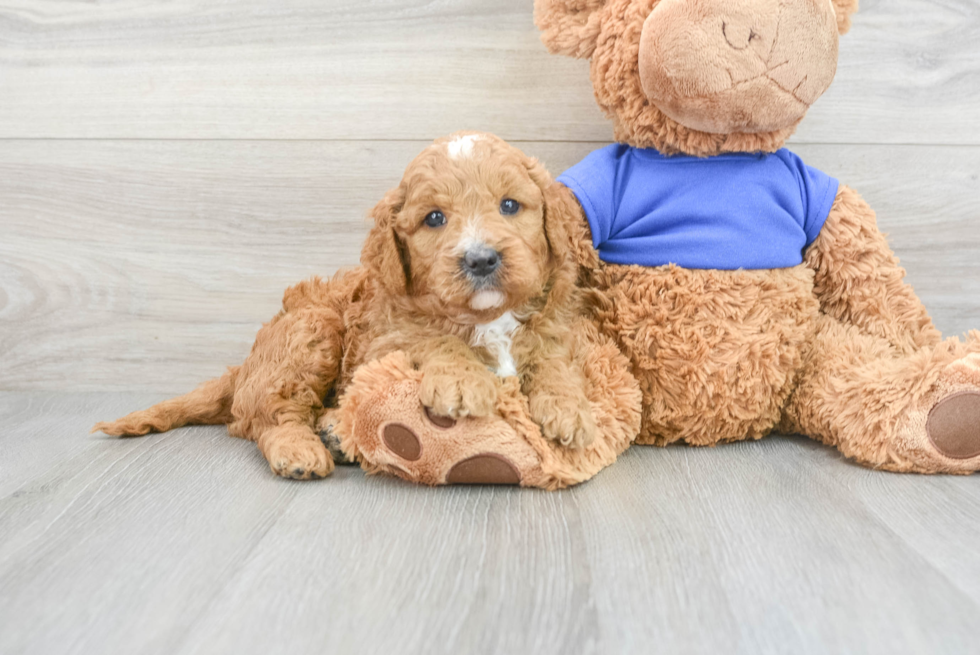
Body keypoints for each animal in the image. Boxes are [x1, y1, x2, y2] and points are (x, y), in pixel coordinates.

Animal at [94, 135, 596, 482]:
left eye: (510, 205)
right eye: (434, 218)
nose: (481, 259)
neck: (487, 319)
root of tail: (244, 367)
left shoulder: (551, 329)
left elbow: (552, 362)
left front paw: (570, 409)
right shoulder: (385, 338)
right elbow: (432, 339)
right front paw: (461, 379)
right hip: (312, 329)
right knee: (267, 417)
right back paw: (303, 449)